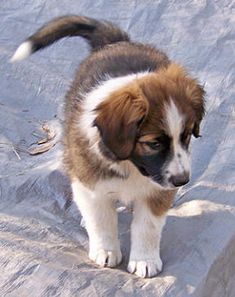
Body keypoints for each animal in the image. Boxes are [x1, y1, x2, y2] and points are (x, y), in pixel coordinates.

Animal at [11, 14, 205, 278]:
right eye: (153, 143)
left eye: (186, 136)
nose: (181, 181)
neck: (130, 164)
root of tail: (116, 42)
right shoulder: (89, 182)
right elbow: (101, 219)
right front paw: (106, 250)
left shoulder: (156, 190)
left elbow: (147, 225)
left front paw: (144, 260)